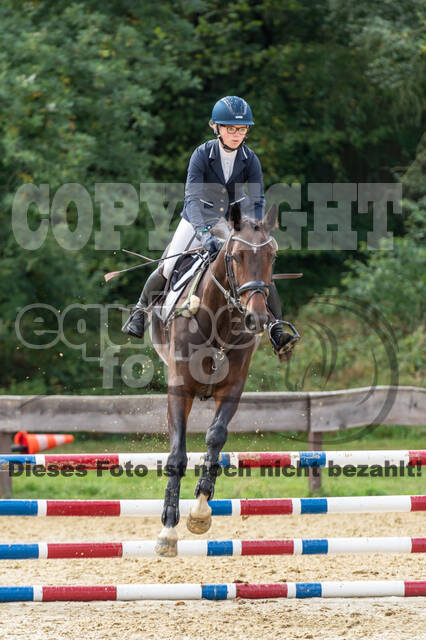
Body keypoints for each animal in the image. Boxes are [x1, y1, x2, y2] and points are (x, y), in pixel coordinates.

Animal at [149, 203, 280, 556]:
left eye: (272, 257)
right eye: (236, 257)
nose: (257, 318)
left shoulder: (233, 389)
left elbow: (215, 437)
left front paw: (200, 510)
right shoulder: (179, 389)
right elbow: (177, 455)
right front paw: (168, 528)